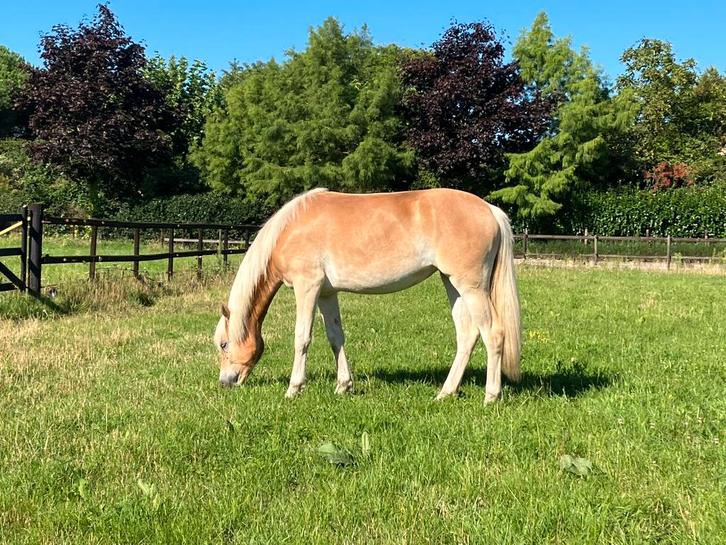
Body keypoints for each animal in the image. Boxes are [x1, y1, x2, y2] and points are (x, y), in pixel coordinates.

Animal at [214, 188, 521, 402]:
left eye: (224, 344)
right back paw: (445, 393)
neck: (290, 229)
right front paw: (343, 386)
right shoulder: (326, 294)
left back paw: (491, 396)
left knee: (493, 334)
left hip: (471, 287)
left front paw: (294, 388)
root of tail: (490, 209)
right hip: (452, 284)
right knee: (467, 334)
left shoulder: (307, 287)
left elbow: (302, 338)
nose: (225, 382)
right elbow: (335, 337)